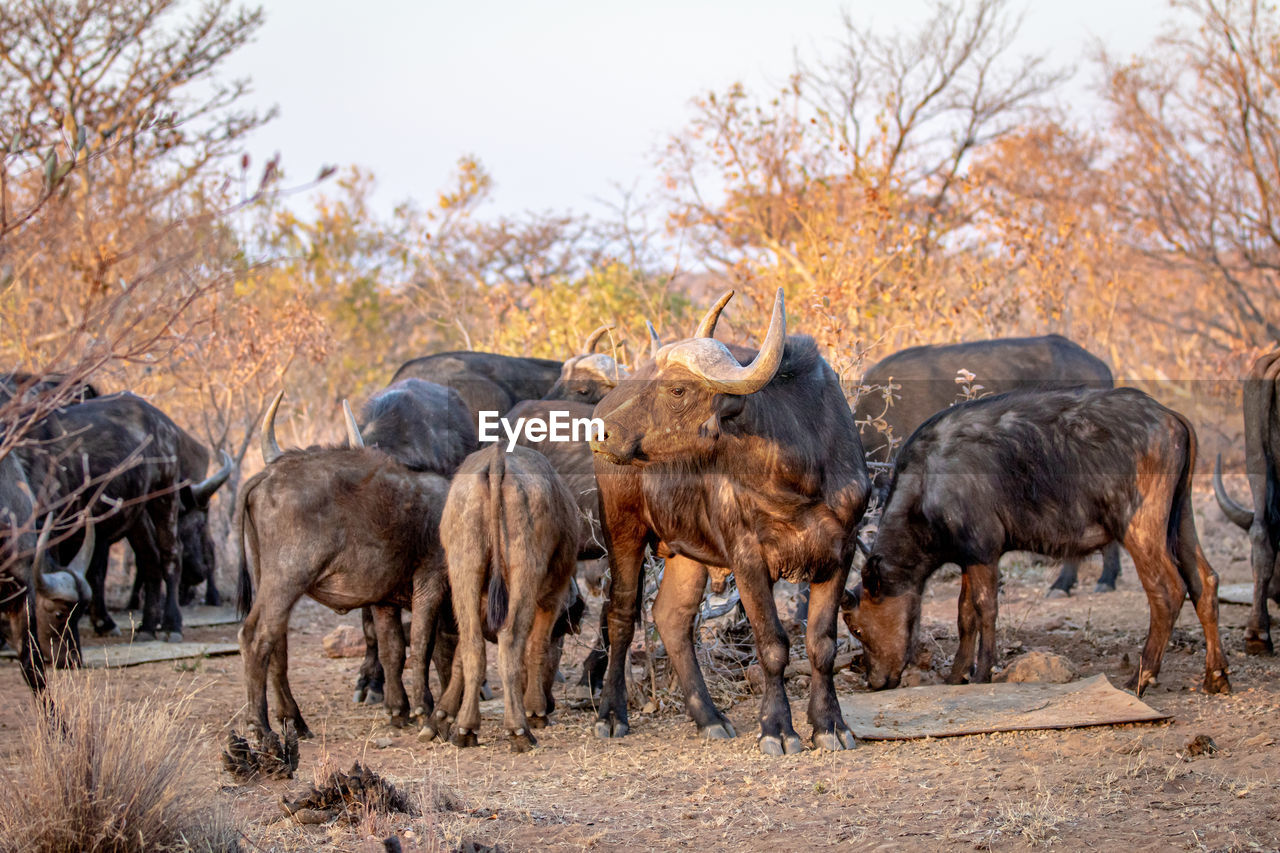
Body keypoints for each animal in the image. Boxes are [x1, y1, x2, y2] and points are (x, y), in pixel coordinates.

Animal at [422, 445, 578, 753]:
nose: (551, 703)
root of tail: (497, 460)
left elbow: (461, 656)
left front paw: (442, 717)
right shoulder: (553, 596)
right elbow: (537, 647)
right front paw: (536, 710)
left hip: (464, 568)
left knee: (471, 644)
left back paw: (466, 728)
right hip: (524, 571)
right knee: (512, 641)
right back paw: (519, 729)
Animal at [588, 286, 870, 753]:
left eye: (677, 389)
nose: (600, 432)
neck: (798, 478)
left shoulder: (840, 552)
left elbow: (822, 643)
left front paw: (830, 725)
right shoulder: (748, 558)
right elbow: (772, 644)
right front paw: (778, 728)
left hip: (685, 550)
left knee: (672, 617)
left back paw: (709, 718)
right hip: (623, 529)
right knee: (622, 614)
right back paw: (611, 715)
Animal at [849, 384, 1228, 696]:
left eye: (857, 629)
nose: (874, 681)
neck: (928, 481)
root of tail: (1170, 416)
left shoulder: (984, 552)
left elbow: (985, 609)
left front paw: (982, 673)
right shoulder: (968, 556)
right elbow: (964, 615)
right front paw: (957, 675)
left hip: (1140, 527)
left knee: (1167, 591)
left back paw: (1141, 676)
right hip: (1181, 519)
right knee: (1205, 581)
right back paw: (1216, 676)